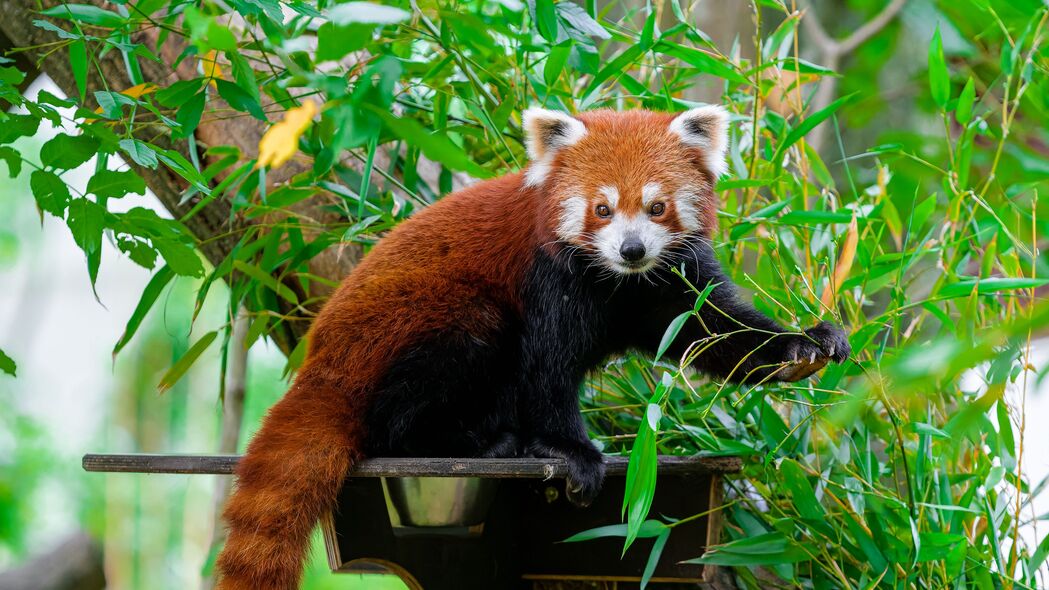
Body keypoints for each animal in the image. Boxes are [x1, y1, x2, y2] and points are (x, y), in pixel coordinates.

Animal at [217, 106, 847, 587]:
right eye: (601, 208)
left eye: (656, 206)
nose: (633, 249)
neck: (617, 282)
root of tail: (321, 365)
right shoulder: (548, 276)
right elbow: (548, 368)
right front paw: (570, 452)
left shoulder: (673, 283)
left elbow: (717, 331)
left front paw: (804, 346)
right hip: (419, 326)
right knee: (417, 395)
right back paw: (482, 443)